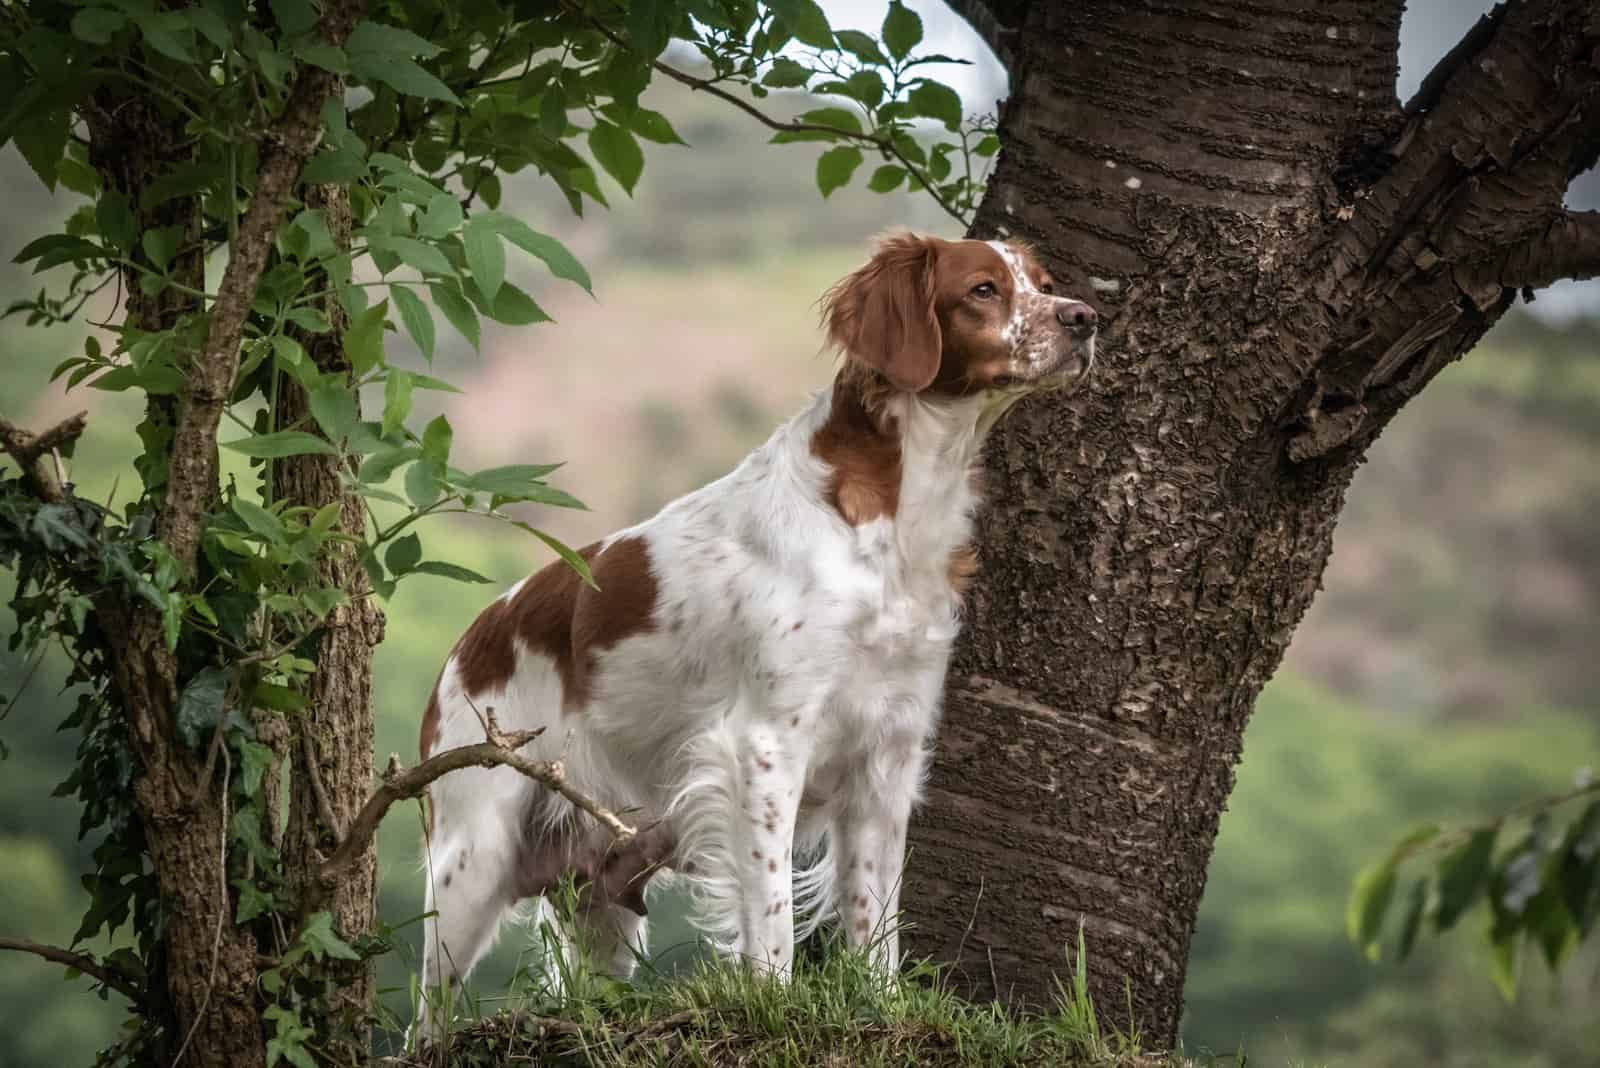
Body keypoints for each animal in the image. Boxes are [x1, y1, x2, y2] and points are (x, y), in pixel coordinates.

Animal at [412, 235, 1094, 1023]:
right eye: (983, 289)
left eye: (1041, 282)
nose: (1086, 319)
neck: (892, 522)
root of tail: (463, 649)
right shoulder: (766, 742)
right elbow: (769, 911)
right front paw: (775, 999)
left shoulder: (889, 751)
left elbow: (877, 915)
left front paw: (882, 1004)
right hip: (473, 854)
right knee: (425, 1018)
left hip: (601, 894)